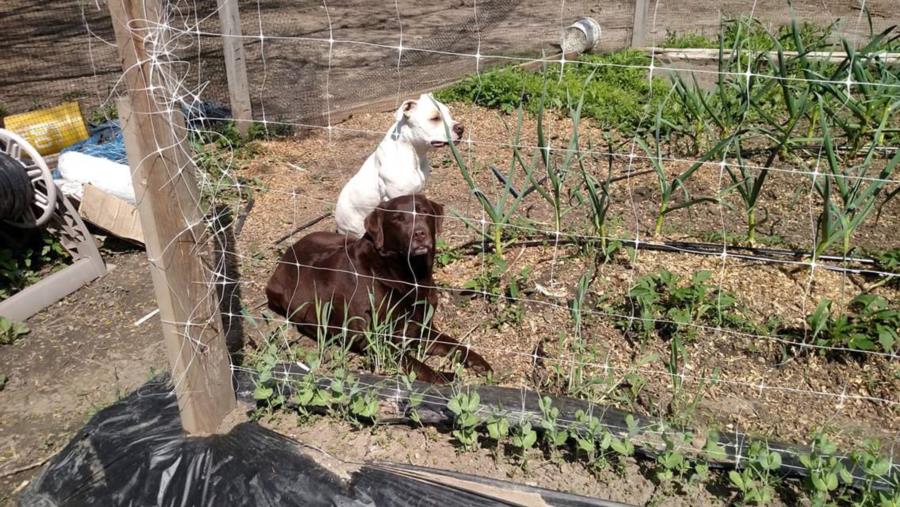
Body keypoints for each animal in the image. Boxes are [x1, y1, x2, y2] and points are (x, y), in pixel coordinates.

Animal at [268, 195, 492, 384]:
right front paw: (445, 376)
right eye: (398, 219)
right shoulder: (375, 339)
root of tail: (287, 253)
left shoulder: (420, 329)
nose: (420, 234)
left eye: (425, 211)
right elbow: (416, 365)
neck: (407, 275)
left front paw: (479, 362)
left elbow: (455, 344)